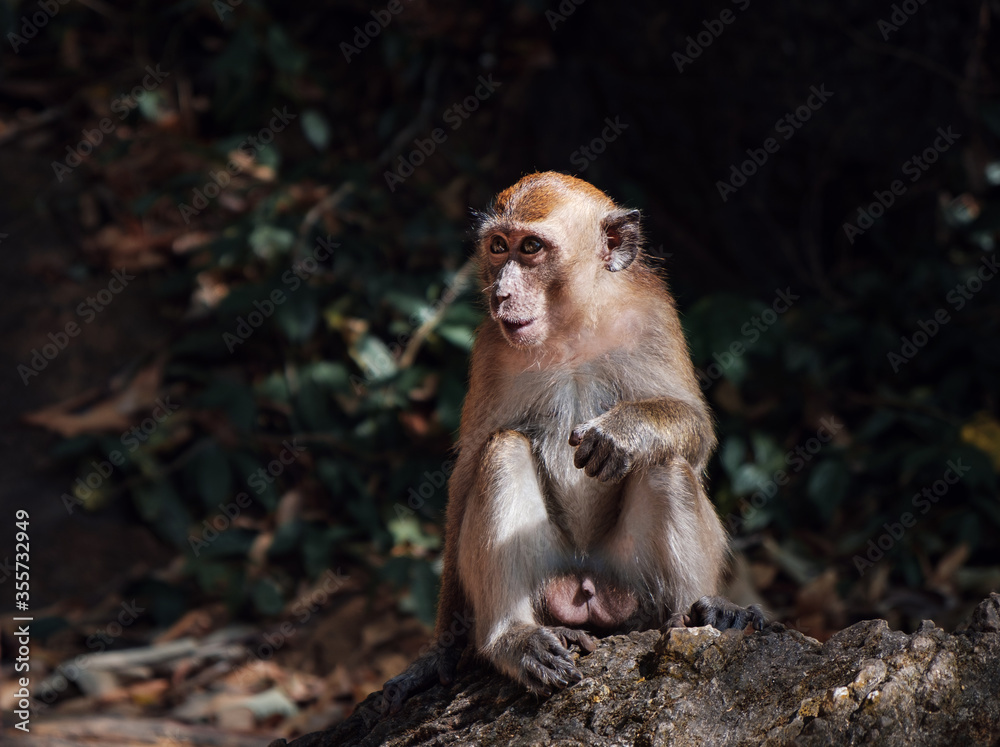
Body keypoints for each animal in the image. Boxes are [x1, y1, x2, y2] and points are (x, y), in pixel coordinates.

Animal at [381, 171, 763, 714]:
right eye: (498, 247)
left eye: (531, 247)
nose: (501, 293)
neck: (572, 329)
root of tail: (586, 585)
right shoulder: (491, 347)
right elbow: (467, 472)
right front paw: (440, 653)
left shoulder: (654, 316)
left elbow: (695, 429)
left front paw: (625, 430)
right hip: (551, 572)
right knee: (503, 450)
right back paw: (514, 637)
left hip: (630, 575)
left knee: (665, 462)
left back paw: (696, 611)